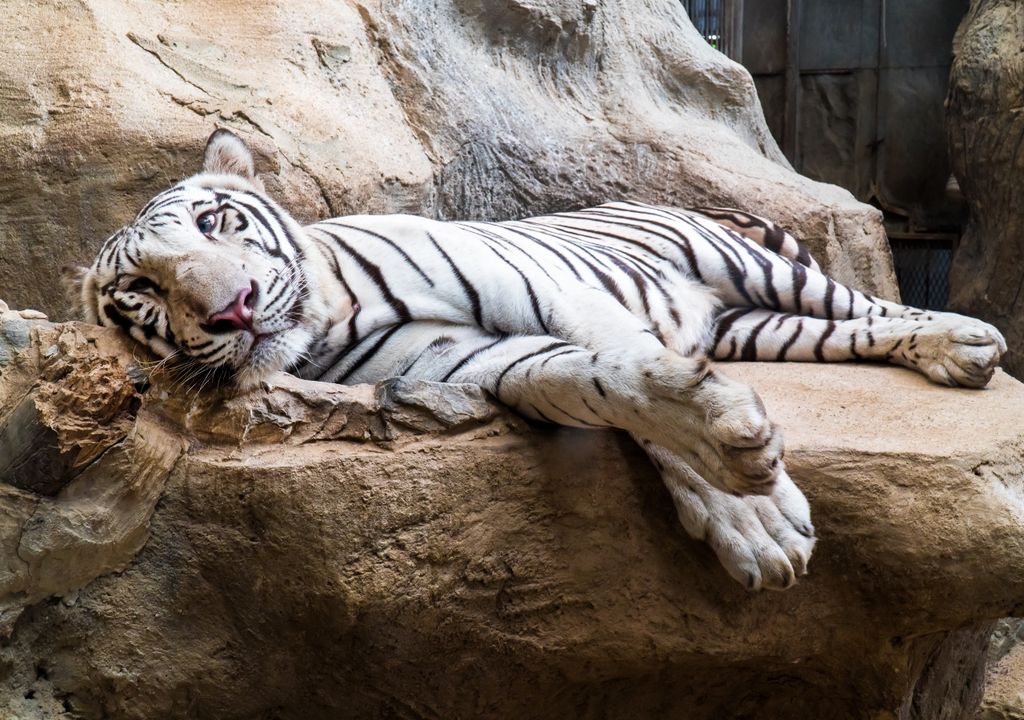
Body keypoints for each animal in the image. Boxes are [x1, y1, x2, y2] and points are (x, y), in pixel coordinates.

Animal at [65, 129, 1006, 591]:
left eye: (216, 221)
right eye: (143, 288)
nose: (234, 307)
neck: (333, 316)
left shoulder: (559, 295)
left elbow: (630, 361)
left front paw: (758, 505)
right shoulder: (479, 362)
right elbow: (605, 385)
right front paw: (751, 514)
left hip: (751, 268)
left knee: (870, 306)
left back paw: (965, 341)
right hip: (757, 328)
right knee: (848, 333)